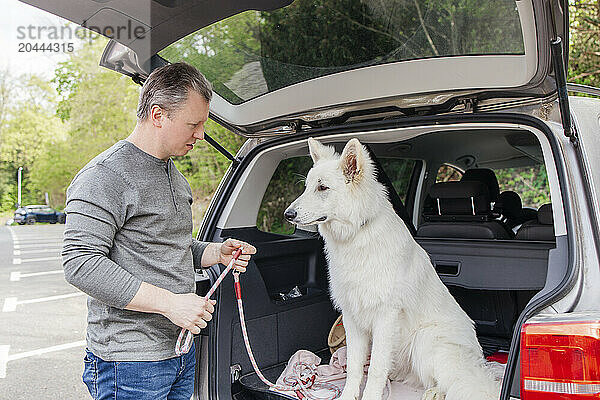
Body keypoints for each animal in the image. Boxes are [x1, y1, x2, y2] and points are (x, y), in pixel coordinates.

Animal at [284, 138, 500, 400]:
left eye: (322, 188)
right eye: (307, 187)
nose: (287, 215)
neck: (358, 235)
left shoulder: (385, 318)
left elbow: (376, 368)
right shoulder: (352, 318)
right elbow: (354, 366)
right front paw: (349, 395)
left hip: (426, 340)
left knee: (457, 384)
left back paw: (434, 392)